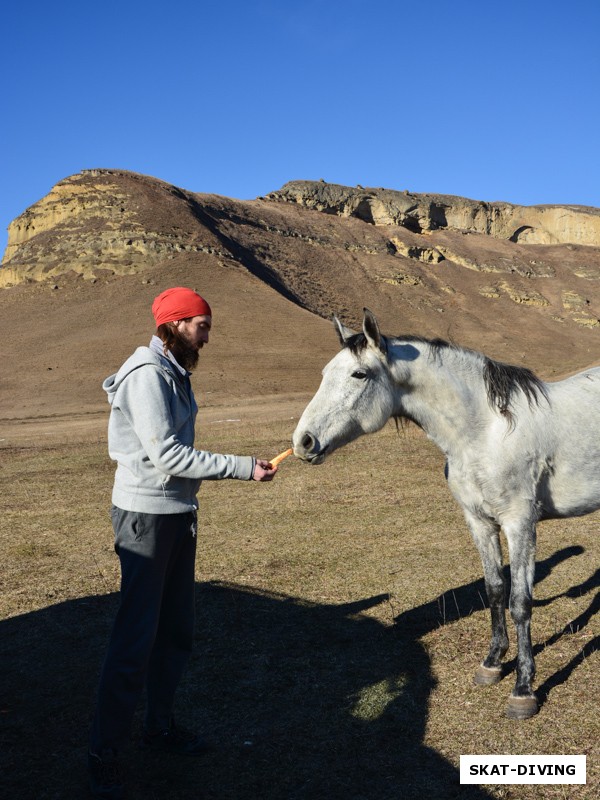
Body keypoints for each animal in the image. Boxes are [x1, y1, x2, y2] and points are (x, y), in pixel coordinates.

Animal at [292, 308, 600, 720]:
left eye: (359, 374)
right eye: (326, 372)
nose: (303, 441)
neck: (486, 431)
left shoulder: (520, 524)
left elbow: (520, 602)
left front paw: (523, 688)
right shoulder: (480, 522)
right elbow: (495, 590)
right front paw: (492, 663)